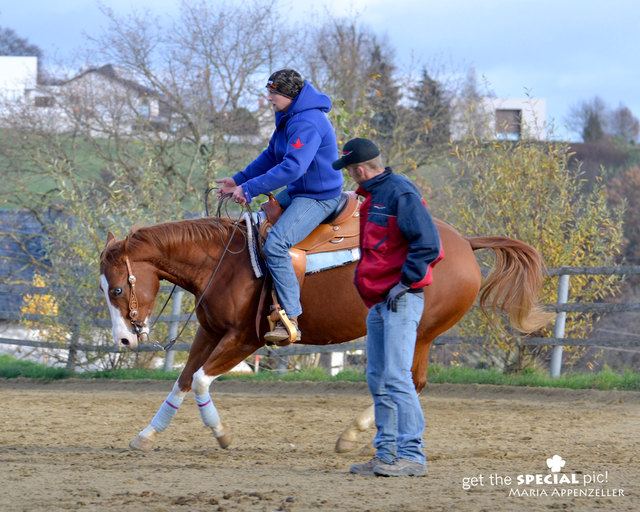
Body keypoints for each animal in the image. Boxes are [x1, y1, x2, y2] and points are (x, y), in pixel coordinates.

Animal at [99, 213, 550, 453]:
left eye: (117, 288)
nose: (124, 340)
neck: (225, 264)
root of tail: (464, 243)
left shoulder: (246, 339)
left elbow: (200, 380)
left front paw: (222, 434)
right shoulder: (210, 333)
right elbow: (182, 380)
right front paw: (146, 435)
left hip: (419, 332)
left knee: (411, 381)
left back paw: (352, 435)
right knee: (410, 382)